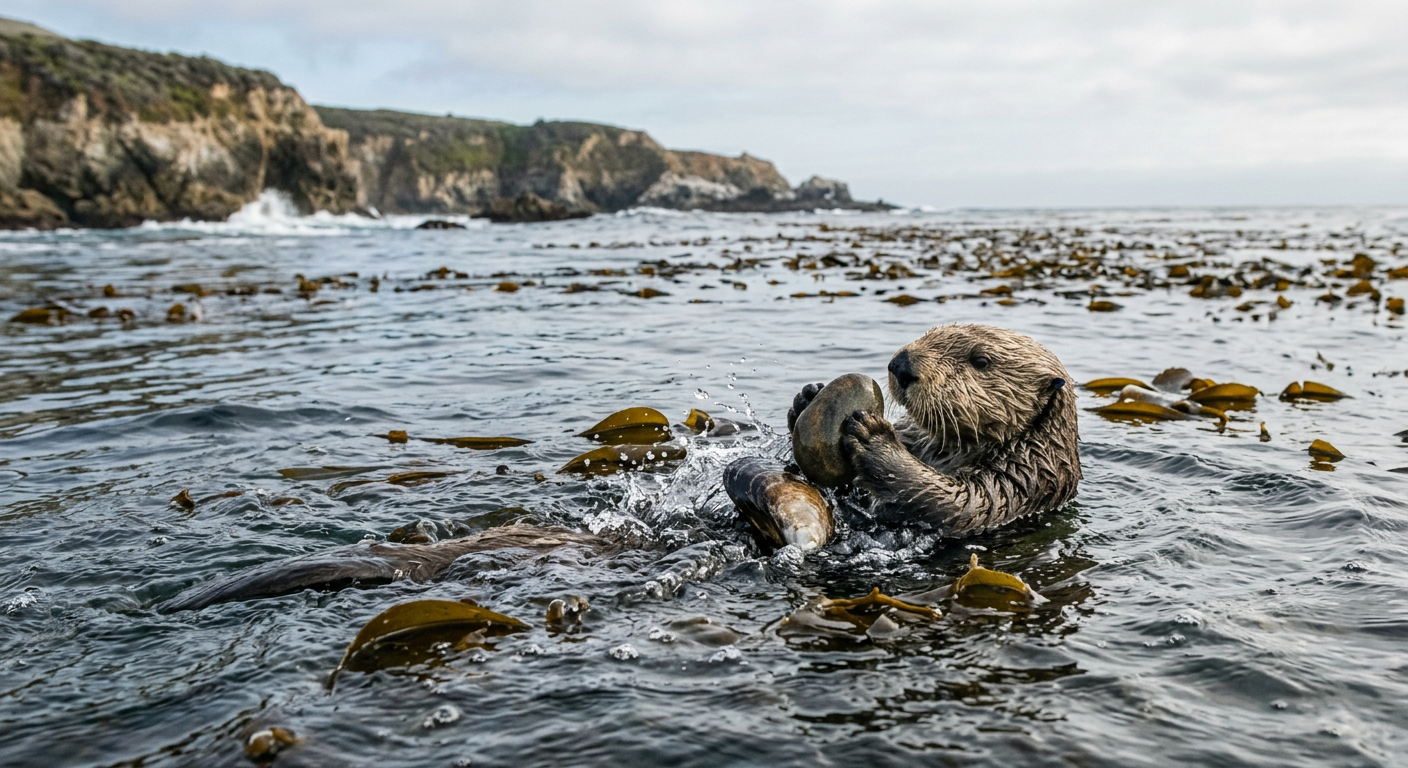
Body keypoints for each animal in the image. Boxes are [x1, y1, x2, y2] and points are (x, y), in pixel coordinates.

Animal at [787, 323, 1080, 536]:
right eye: (929, 334)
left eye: (981, 361)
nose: (901, 365)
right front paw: (807, 397)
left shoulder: (1018, 480)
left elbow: (961, 504)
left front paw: (874, 439)